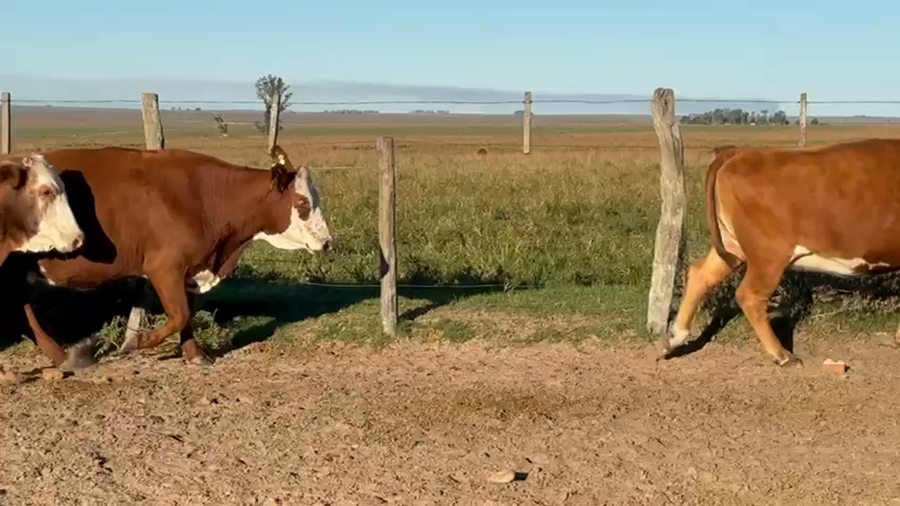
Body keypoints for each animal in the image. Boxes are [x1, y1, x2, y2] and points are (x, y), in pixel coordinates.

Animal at [15, 144, 332, 371]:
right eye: (302, 202)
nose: (327, 242)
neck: (203, 198)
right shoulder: (165, 268)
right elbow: (179, 314)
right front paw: (138, 341)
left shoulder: (191, 270)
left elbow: (186, 314)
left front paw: (194, 354)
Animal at [663, 138, 900, 367]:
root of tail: (743, 152)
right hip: (769, 255)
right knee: (750, 295)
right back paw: (783, 355)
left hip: (732, 246)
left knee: (700, 274)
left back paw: (674, 337)